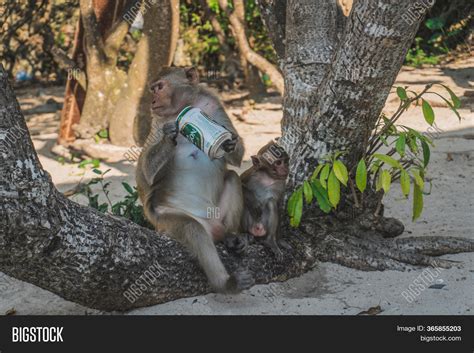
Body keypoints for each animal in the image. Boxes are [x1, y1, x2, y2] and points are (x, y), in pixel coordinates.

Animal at [135, 66, 254, 292]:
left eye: (159, 87)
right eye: (153, 89)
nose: (152, 101)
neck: (184, 108)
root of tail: (213, 228)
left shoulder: (213, 104)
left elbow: (235, 159)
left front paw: (229, 143)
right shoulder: (158, 123)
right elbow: (145, 175)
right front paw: (169, 137)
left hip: (218, 215)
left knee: (233, 178)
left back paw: (231, 237)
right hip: (167, 220)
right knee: (193, 229)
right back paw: (225, 283)